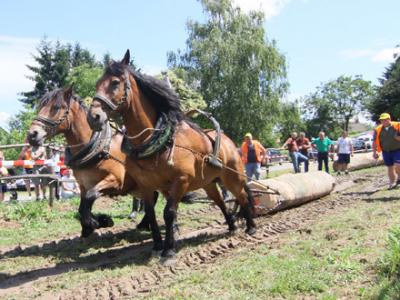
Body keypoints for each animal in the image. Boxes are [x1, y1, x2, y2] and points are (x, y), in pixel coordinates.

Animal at [26, 88, 156, 238]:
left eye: (56, 107)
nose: (32, 134)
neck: (99, 148)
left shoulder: (115, 180)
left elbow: (90, 197)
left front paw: (100, 222)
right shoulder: (83, 185)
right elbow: (82, 207)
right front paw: (90, 225)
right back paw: (144, 223)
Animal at [87, 50, 256, 264]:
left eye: (115, 82)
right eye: (97, 83)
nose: (93, 117)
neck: (158, 140)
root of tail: (228, 141)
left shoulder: (180, 180)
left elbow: (169, 213)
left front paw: (168, 251)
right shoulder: (145, 184)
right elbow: (151, 214)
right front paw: (157, 246)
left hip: (232, 177)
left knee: (242, 196)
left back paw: (251, 227)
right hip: (209, 183)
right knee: (220, 201)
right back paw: (232, 226)